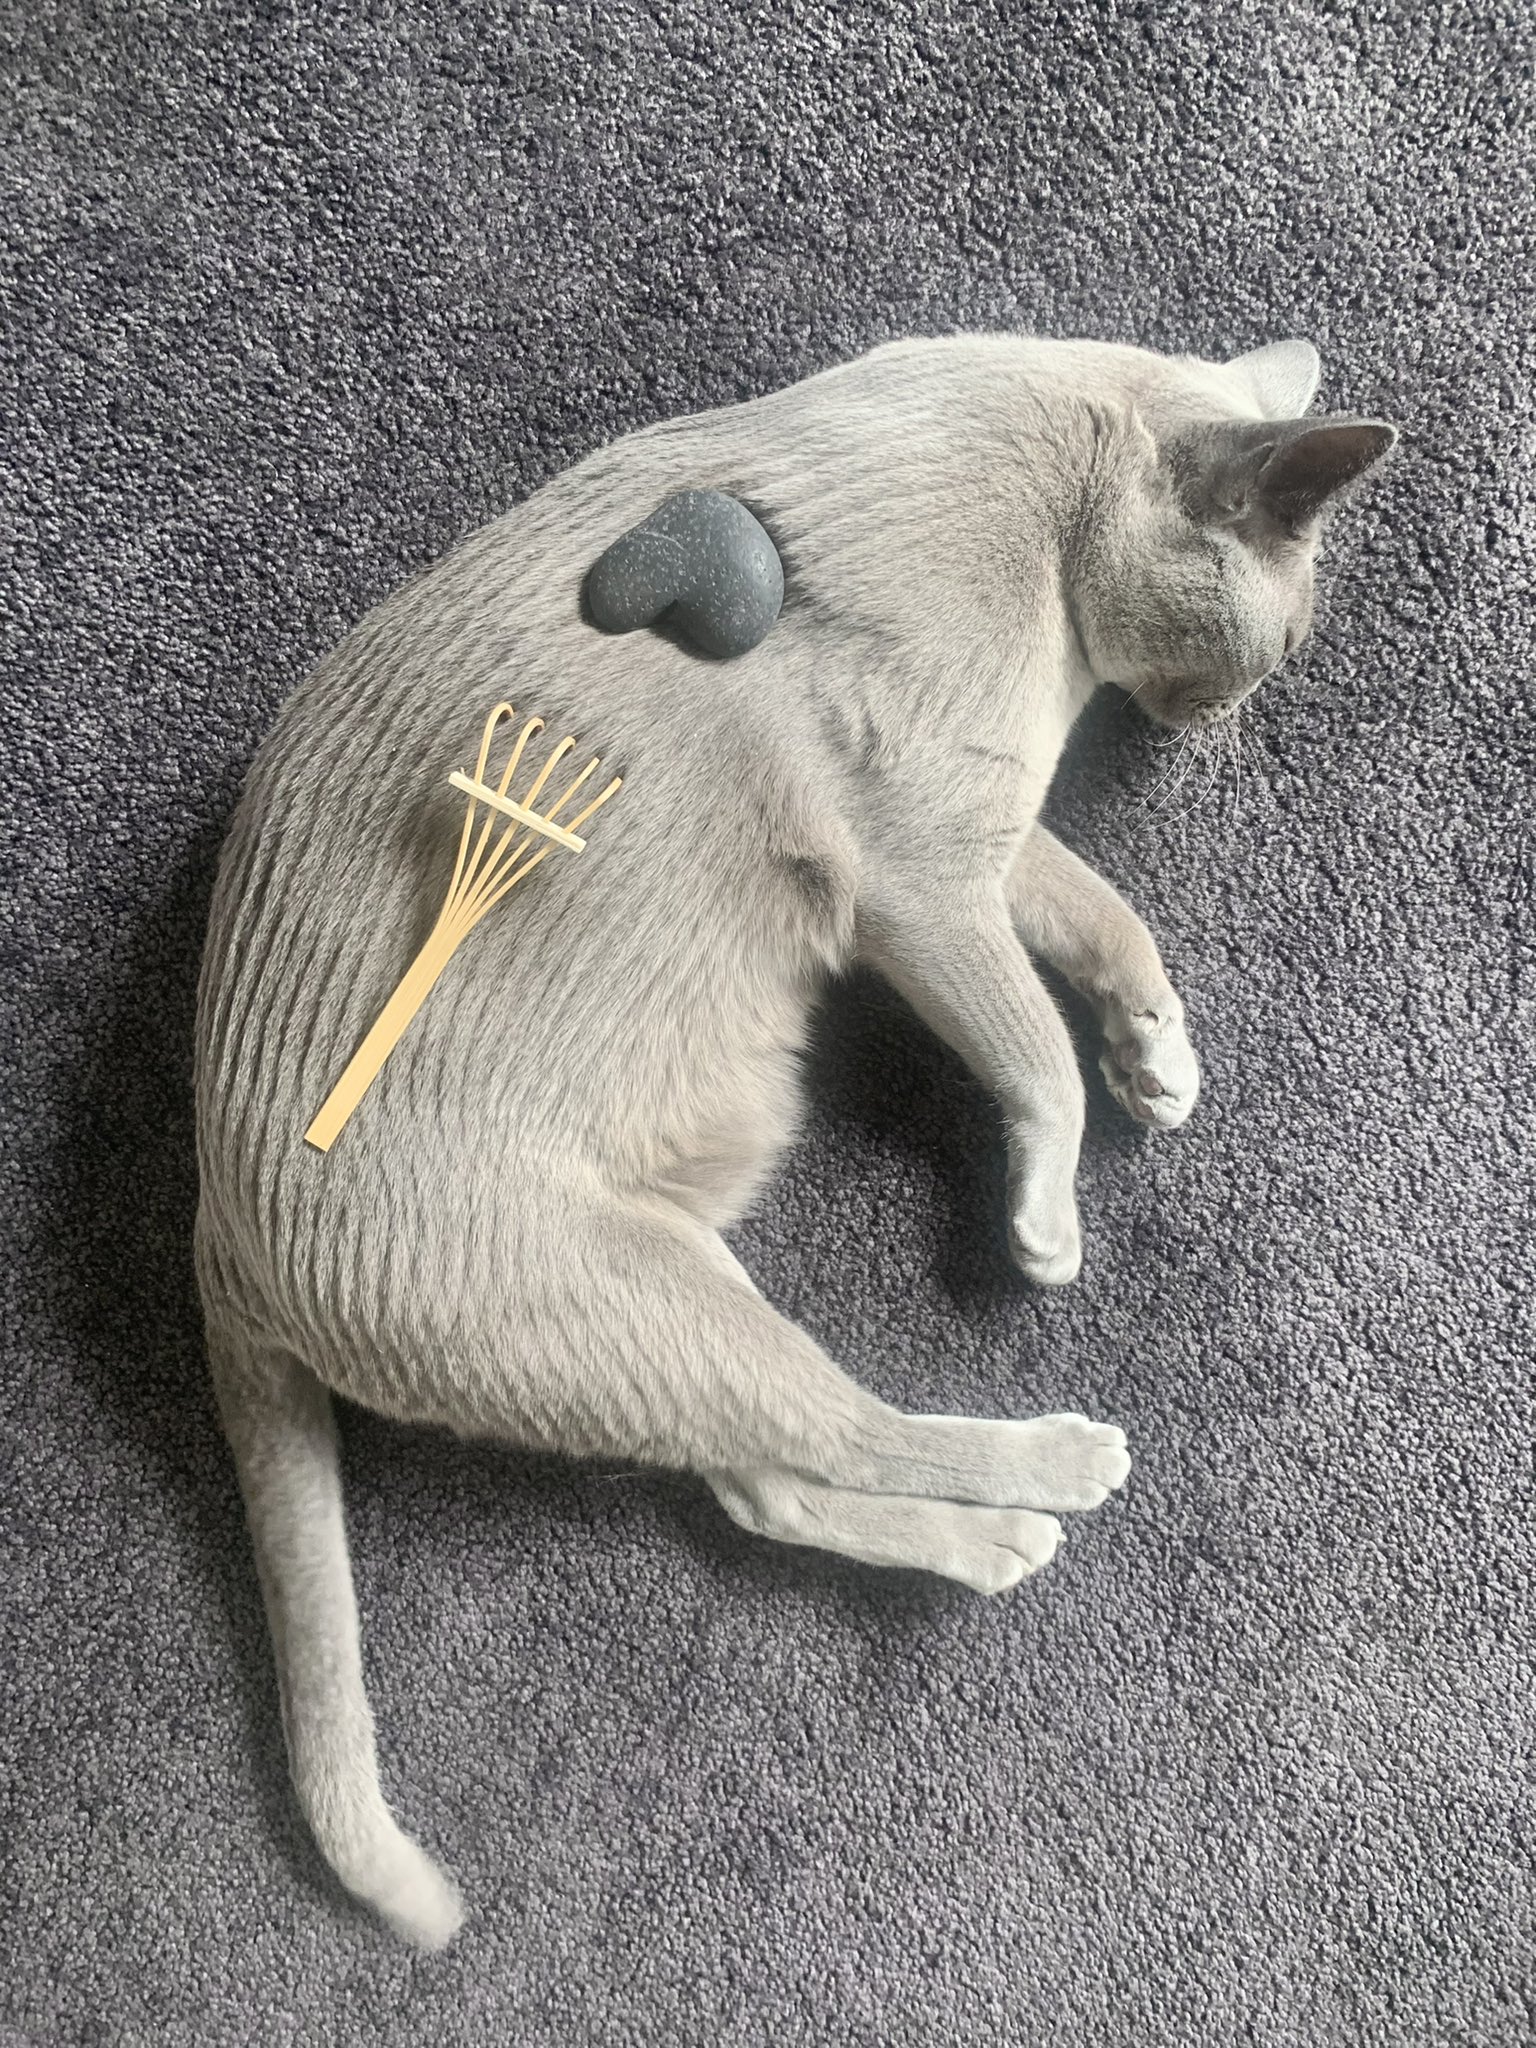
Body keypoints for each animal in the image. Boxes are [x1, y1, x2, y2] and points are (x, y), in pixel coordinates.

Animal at [193, 332, 1397, 1944]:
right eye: (1280, 640)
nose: (1222, 720)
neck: (1050, 514)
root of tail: (212, 1222)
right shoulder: (923, 877)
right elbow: (1036, 1053)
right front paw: (1053, 1215)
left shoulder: (982, 836)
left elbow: (1101, 911)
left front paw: (1158, 1051)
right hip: (646, 1309)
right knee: (843, 1429)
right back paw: (1050, 1479)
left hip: (676, 1300)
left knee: (767, 1482)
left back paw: (982, 1550)